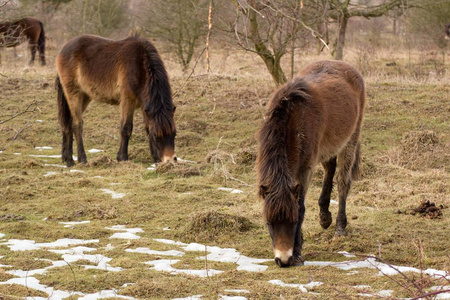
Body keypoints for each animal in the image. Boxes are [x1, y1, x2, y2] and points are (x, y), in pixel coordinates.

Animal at [55, 35, 177, 168]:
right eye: (157, 137)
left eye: (174, 134)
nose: (170, 160)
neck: (139, 65)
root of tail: (63, 49)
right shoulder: (127, 101)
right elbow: (126, 128)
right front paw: (122, 158)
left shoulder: (145, 106)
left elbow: (148, 128)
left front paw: (155, 158)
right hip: (74, 94)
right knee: (77, 125)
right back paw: (81, 159)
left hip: (85, 96)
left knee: (68, 124)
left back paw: (68, 160)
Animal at [256, 60, 366, 268]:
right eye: (269, 223)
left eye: (292, 222)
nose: (283, 260)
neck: (294, 119)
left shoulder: (305, 169)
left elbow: (301, 207)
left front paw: (298, 252)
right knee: (329, 170)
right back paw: (324, 217)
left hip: (350, 141)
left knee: (342, 182)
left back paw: (340, 227)